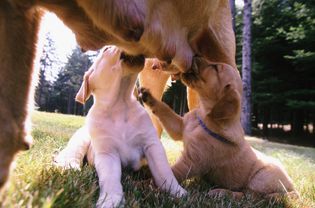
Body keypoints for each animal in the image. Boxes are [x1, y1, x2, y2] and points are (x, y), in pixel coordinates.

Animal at [54, 46, 188, 207]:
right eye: (106, 49)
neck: (120, 102)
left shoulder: (152, 144)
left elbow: (163, 172)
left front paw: (177, 192)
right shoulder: (108, 154)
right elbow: (110, 179)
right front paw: (110, 200)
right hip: (81, 139)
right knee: (72, 154)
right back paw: (70, 166)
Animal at [139, 57, 298, 198]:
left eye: (215, 68)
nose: (195, 55)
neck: (204, 117)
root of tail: (292, 187)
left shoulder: (191, 162)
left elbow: (169, 174)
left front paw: (143, 185)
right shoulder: (180, 127)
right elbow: (164, 109)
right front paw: (148, 96)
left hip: (261, 177)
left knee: (250, 196)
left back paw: (220, 192)